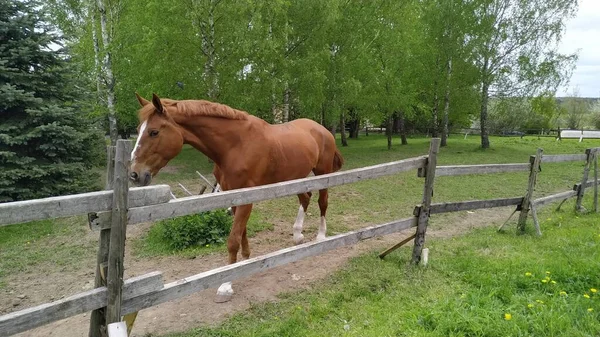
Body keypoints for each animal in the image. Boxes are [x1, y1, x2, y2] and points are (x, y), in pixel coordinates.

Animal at [129, 93, 344, 300]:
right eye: (139, 129)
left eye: (154, 132)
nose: (134, 174)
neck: (235, 145)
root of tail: (322, 129)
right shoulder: (234, 196)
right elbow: (242, 233)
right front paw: (245, 260)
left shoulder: (246, 198)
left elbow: (233, 239)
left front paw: (226, 285)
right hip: (296, 178)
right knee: (305, 198)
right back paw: (298, 235)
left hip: (322, 174)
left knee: (322, 202)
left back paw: (321, 236)